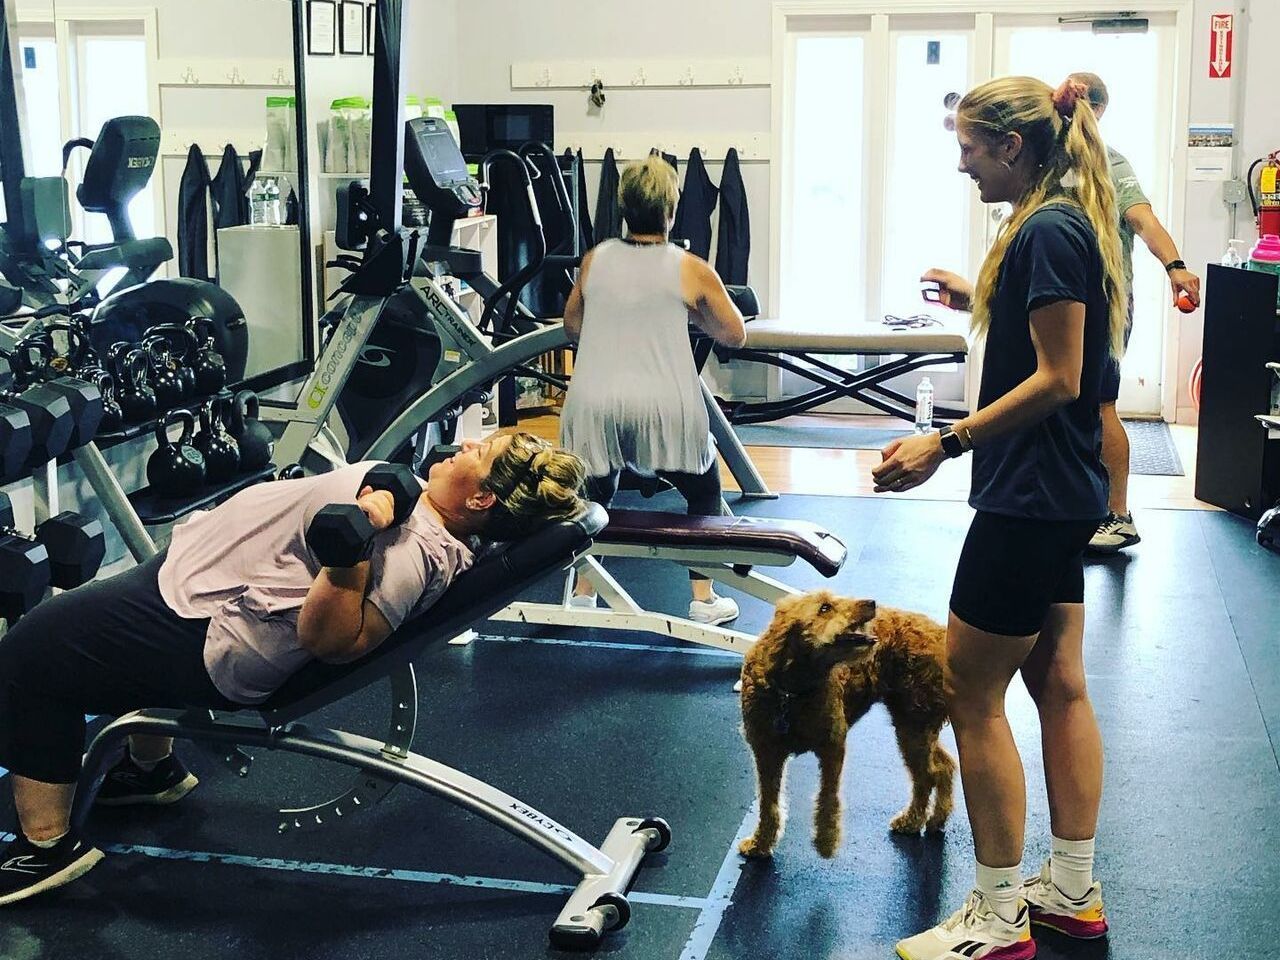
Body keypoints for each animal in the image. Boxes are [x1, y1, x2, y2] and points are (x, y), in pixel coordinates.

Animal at [737, 591, 957, 860]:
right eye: (824, 608)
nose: (872, 603)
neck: (792, 691)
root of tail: (940, 632)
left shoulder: (833, 746)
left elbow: (827, 796)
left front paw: (826, 840)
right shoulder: (766, 753)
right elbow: (768, 804)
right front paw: (760, 843)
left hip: (913, 725)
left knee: (928, 776)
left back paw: (913, 820)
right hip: (914, 726)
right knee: (942, 767)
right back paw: (933, 819)